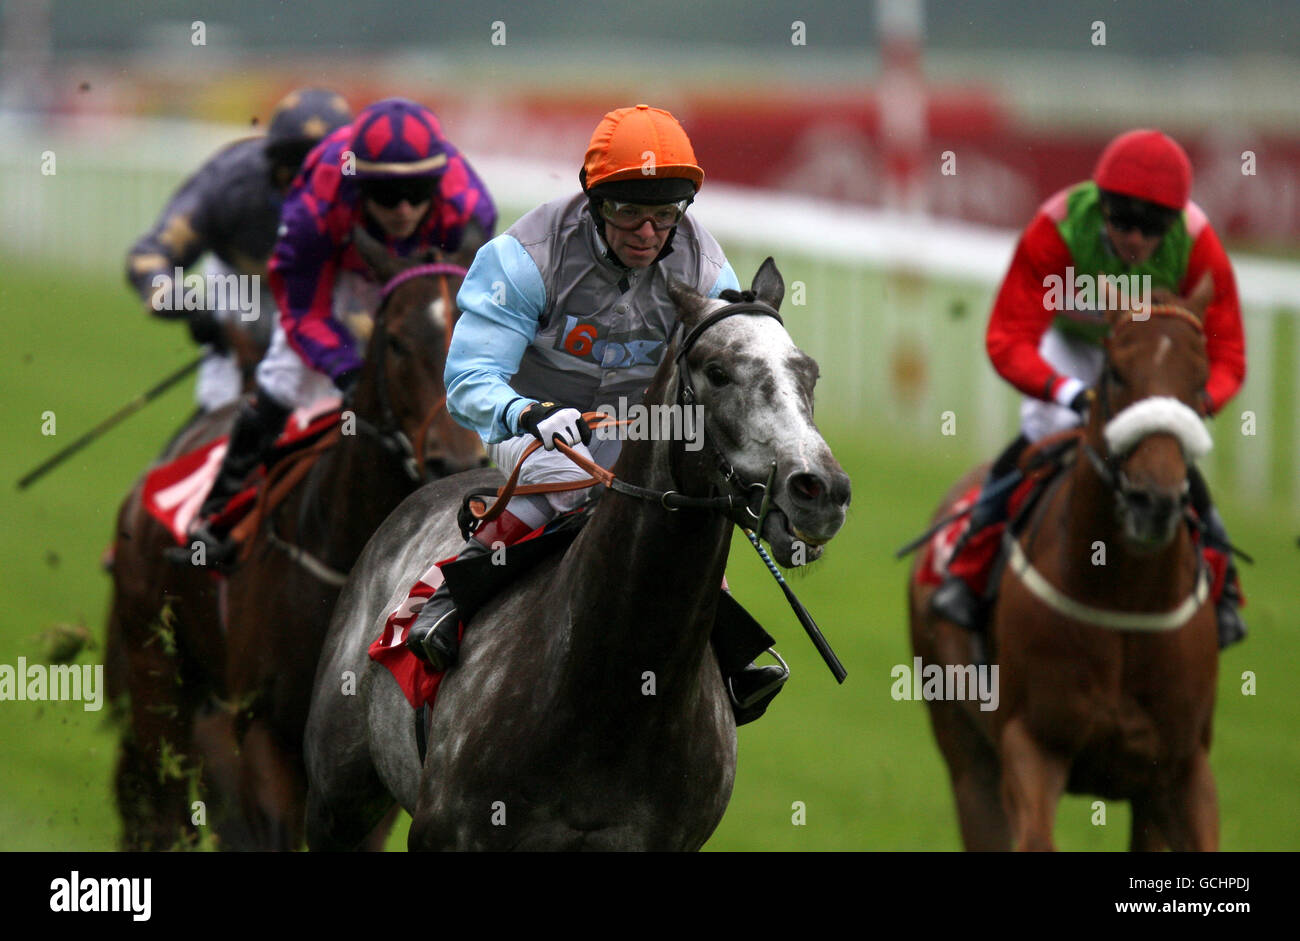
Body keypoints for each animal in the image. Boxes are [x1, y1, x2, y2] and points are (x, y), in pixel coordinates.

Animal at [909, 302, 1222, 852]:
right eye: (1115, 373)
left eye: (1200, 382)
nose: (1154, 501)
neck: (1122, 599)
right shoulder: (1032, 743)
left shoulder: (1181, 770)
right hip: (965, 752)